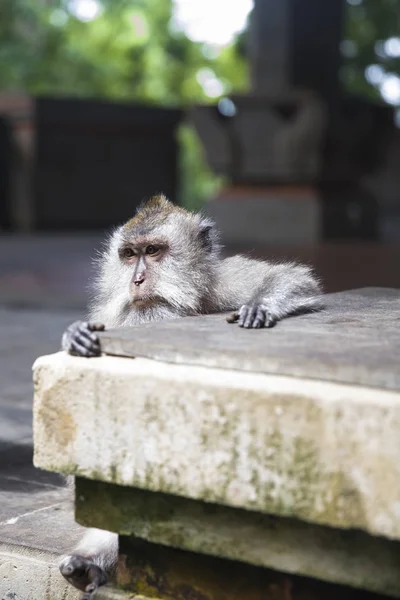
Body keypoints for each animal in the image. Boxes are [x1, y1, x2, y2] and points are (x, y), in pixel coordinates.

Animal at [58, 195, 322, 596]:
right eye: (129, 254)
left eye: (153, 251)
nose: (137, 280)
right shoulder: (112, 316)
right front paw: (74, 336)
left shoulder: (222, 283)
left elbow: (292, 278)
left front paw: (263, 304)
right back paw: (87, 564)